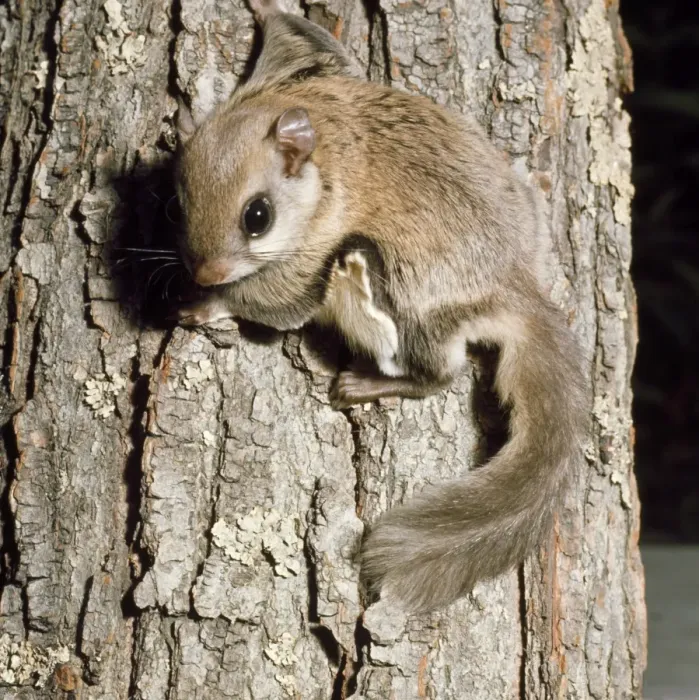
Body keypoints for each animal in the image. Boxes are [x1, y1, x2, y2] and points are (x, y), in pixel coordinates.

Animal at [173, 0, 588, 611]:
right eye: (178, 202)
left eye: (257, 216)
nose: (205, 273)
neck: (324, 156)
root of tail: (514, 285)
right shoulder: (307, 67)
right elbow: (305, 34)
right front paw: (263, 9)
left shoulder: (307, 262)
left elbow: (274, 306)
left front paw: (209, 304)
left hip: (395, 293)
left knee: (438, 372)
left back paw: (366, 384)